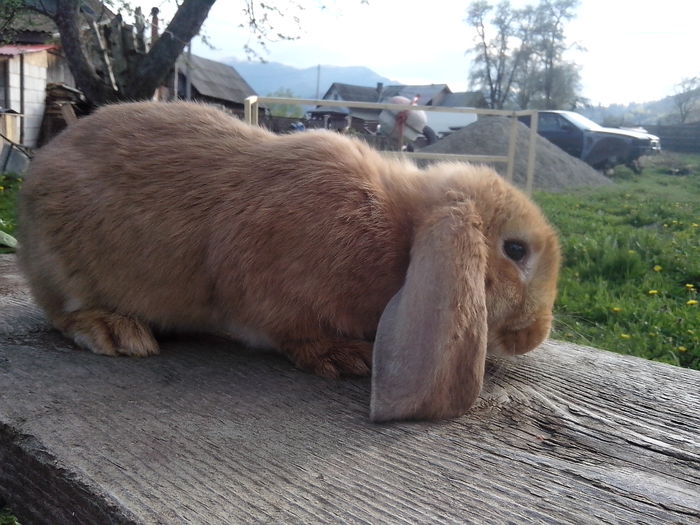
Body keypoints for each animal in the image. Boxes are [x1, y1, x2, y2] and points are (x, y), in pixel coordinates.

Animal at [17, 101, 556, 422]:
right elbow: (288, 332)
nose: (535, 336)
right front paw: (344, 357)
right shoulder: (266, 294)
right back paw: (114, 331)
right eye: (515, 250)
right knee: (62, 313)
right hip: (61, 270)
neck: (401, 231)